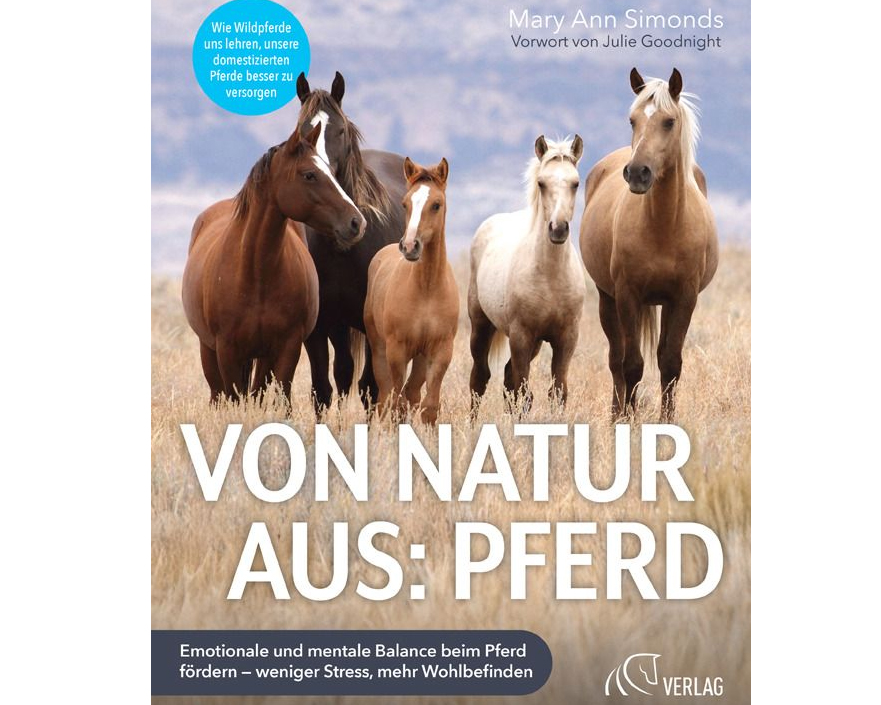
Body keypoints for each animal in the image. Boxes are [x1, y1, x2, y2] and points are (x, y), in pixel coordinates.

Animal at [181, 123, 366, 404]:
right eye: (309, 174)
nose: (357, 222)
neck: (256, 272)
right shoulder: (226, 349)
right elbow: (234, 397)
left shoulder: (286, 347)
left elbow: (277, 395)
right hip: (208, 350)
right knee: (217, 394)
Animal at [294, 71, 408, 412]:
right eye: (301, 130)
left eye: (340, 130)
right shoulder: (319, 327)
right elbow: (323, 388)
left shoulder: (370, 324)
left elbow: (370, 387)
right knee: (343, 372)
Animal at [364, 158, 459, 424]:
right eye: (405, 203)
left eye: (436, 204)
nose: (409, 246)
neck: (427, 289)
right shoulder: (397, 350)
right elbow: (396, 403)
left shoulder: (440, 350)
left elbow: (429, 406)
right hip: (379, 348)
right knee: (386, 397)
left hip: (420, 357)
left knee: (412, 393)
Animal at [468, 135, 586, 411]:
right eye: (542, 183)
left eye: (575, 183)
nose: (558, 229)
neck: (551, 277)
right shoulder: (521, 336)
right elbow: (524, 393)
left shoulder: (566, 338)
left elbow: (558, 392)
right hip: (481, 326)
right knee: (480, 379)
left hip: (535, 343)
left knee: (507, 377)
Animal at [579, 68, 718, 420]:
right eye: (633, 120)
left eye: (669, 121)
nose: (637, 173)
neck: (663, 227)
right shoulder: (627, 295)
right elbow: (631, 365)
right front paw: (626, 419)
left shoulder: (684, 298)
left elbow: (670, 363)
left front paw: (666, 420)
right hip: (607, 299)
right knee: (616, 358)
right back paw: (617, 412)